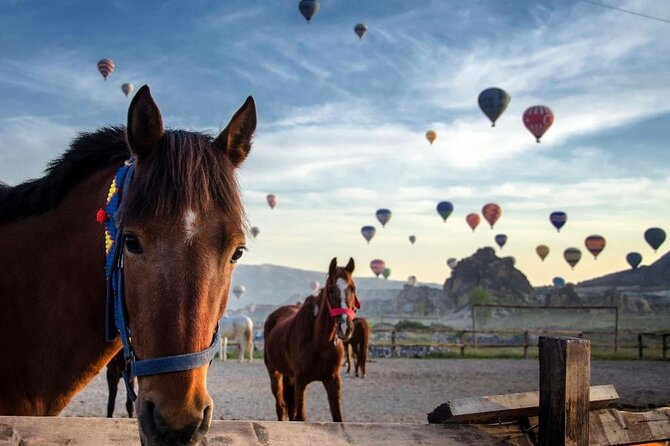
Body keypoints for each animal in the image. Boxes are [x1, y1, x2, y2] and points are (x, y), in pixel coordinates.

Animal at [266, 258, 362, 422]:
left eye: (353, 288)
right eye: (331, 289)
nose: (345, 327)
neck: (319, 341)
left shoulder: (333, 380)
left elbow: (338, 418)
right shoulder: (300, 381)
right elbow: (300, 416)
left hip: (288, 376)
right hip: (274, 373)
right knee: (281, 406)